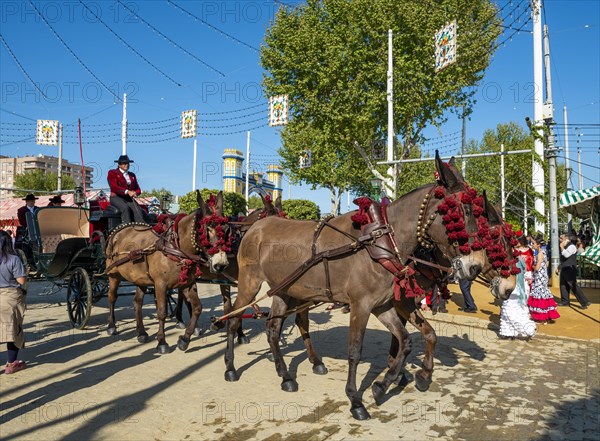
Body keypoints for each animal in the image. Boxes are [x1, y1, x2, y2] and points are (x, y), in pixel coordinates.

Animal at [104, 191, 231, 352]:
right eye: (207, 229)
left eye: (226, 229)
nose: (220, 264)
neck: (175, 247)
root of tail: (118, 231)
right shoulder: (160, 285)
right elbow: (162, 312)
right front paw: (162, 342)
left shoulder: (187, 283)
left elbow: (197, 308)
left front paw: (185, 339)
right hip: (113, 275)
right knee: (112, 298)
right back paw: (111, 326)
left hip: (140, 278)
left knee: (137, 302)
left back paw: (141, 332)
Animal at [226, 153, 496, 418]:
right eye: (461, 211)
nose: (475, 265)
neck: (382, 241)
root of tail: (255, 228)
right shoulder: (361, 305)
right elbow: (355, 352)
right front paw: (356, 400)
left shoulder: (383, 305)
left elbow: (406, 341)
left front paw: (384, 384)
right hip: (249, 284)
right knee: (234, 319)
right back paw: (231, 367)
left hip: (284, 290)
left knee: (274, 329)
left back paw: (286, 376)